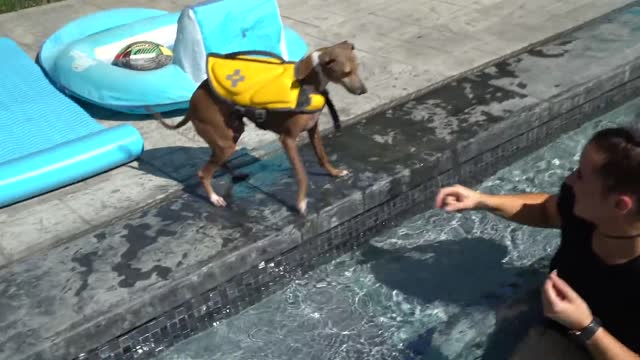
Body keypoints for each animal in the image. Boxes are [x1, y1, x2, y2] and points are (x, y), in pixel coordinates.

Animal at [152, 40, 368, 214]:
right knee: (203, 172)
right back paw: (215, 199)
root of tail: (190, 104)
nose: (363, 91)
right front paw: (301, 203)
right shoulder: (287, 139)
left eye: (358, 68)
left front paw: (335, 172)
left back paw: (236, 175)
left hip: (230, 133)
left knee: (218, 161)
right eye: (347, 72)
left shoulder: (313, 130)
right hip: (224, 141)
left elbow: (322, 157)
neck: (308, 83)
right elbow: (302, 174)